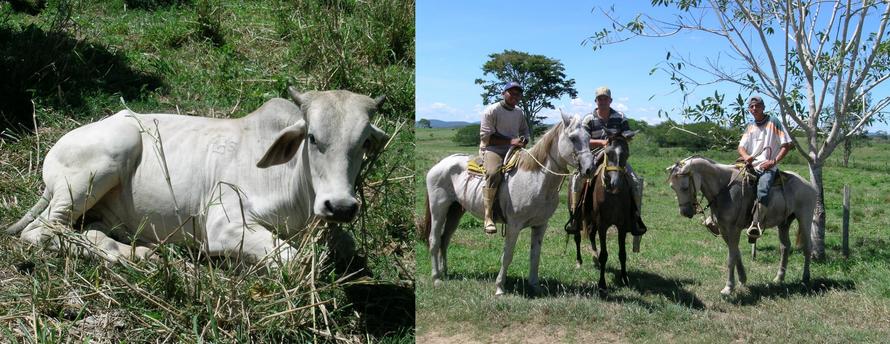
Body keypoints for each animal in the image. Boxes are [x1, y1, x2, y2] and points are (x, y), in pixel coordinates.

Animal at [6, 87, 388, 264]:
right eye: (312, 137)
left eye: (363, 142)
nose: (340, 206)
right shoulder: (224, 224)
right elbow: (297, 259)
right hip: (95, 169)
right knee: (40, 231)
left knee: (90, 230)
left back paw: (136, 251)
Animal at [420, 113, 592, 296]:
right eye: (573, 138)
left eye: (589, 137)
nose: (590, 168)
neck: (537, 178)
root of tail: (439, 165)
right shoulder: (514, 226)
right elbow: (507, 255)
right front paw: (499, 288)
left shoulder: (540, 225)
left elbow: (535, 256)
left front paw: (535, 286)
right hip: (438, 209)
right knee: (434, 240)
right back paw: (436, 278)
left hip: (455, 211)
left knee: (445, 239)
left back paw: (444, 272)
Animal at [664, 157, 812, 294]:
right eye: (672, 187)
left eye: (685, 187)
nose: (685, 212)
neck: (724, 188)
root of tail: (808, 185)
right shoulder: (724, 229)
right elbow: (736, 253)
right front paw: (742, 280)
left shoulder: (733, 229)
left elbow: (731, 258)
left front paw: (728, 287)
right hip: (784, 223)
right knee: (785, 247)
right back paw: (779, 278)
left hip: (805, 218)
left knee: (807, 248)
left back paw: (805, 278)